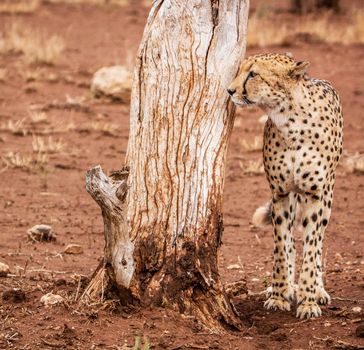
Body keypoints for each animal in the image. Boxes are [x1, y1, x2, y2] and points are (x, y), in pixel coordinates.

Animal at [228, 53, 344, 318]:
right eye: (240, 70)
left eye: (253, 74)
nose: (229, 90)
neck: (291, 122)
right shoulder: (280, 193)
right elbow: (282, 246)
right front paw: (280, 294)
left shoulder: (315, 194)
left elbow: (311, 249)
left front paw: (308, 300)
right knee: (290, 241)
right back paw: (288, 286)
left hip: (327, 196)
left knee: (319, 241)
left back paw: (316, 290)